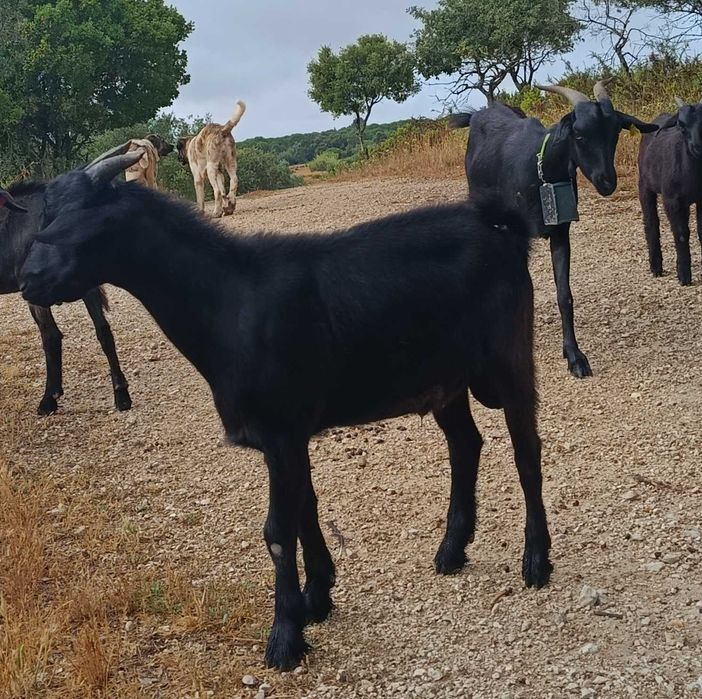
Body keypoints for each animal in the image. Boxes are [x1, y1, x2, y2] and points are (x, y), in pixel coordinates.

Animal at [19, 145, 553, 670]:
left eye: (77, 220)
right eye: (43, 214)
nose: (27, 280)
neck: (229, 299)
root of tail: (504, 232)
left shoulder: (279, 430)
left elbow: (278, 530)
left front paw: (284, 637)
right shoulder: (292, 434)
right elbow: (305, 508)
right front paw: (317, 597)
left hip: (509, 355)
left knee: (526, 451)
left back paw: (536, 561)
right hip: (445, 381)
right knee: (466, 444)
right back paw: (452, 550)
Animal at [450, 82, 658, 378]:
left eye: (615, 131)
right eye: (579, 135)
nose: (607, 182)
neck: (541, 169)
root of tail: (478, 114)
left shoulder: (560, 232)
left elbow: (564, 295)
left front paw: (574, 356)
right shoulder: (518, 236)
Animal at [638, 97, 702, 285]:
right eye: (681, 124)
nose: (697, 146)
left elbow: (700, 231)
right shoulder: (672, 200)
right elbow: (680, 233)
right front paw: (684, 276)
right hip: (644, 185)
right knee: (651, 223)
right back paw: (656, 267)